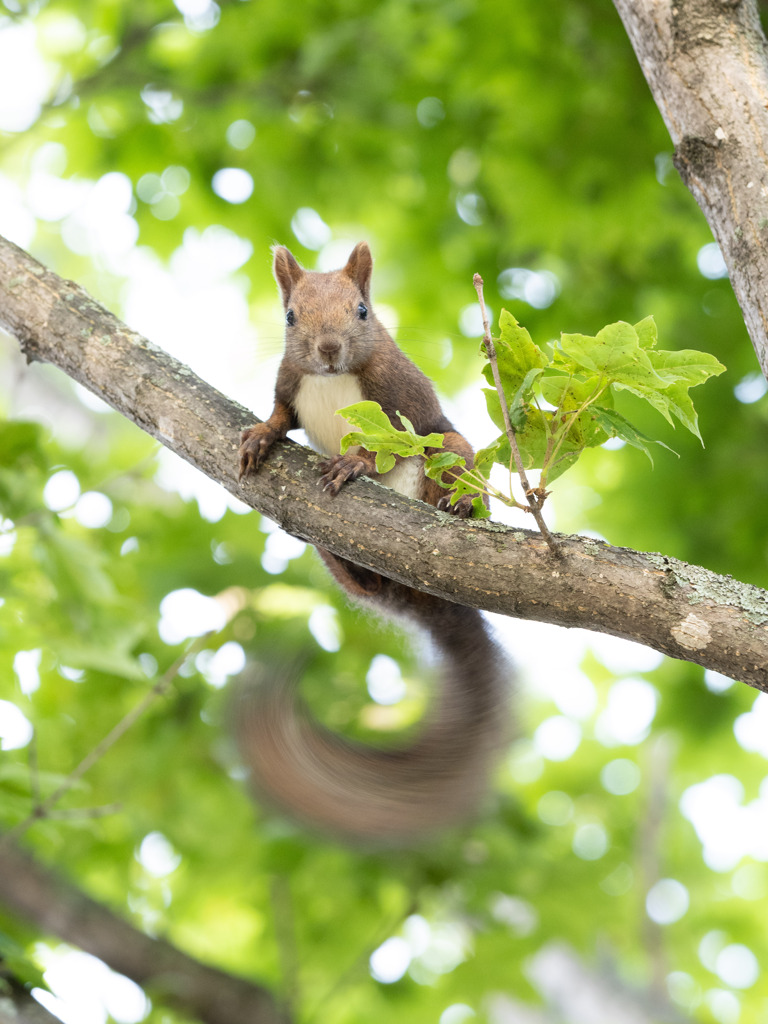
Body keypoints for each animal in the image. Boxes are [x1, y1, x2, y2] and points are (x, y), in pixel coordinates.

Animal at [237, 243, 507, 843]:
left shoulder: (401, 399)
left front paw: (354, 463)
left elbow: (387, 440)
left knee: (448, 455)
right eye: (290, 316)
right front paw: (260, 435)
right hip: (330, 553)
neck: (332, 379)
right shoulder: (290, 382)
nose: (328, 349)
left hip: (449, 451)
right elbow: (281, 414)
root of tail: (418, 592)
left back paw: (454, 505)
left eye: (362, 311)